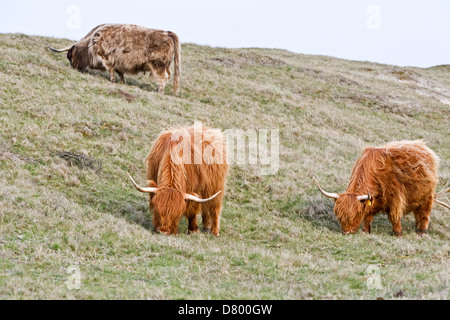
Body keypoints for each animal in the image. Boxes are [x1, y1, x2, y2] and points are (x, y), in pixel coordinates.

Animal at [46, 23, 179, 94]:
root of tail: (168, 33)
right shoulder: (119, 62)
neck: (91, 42)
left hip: (158, 65)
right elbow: (120, 72)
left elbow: (110, 69)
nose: (74, 68)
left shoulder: (105, 57)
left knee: (163, 78)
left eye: (69, 56)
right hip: (166, 66)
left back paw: (159, 91)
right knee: (168, 75)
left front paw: (112, 80)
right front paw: (122, 81)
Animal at [314, 141, 448, 236]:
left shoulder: (396, 197)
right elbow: (368, 215)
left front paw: (398, 233)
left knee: (424, 213)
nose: (347, 232)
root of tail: (423, 146)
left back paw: (421, 232)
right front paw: (366, 231)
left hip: (427, 196)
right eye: (339, 215)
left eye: (356, 213)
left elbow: (395, 216)